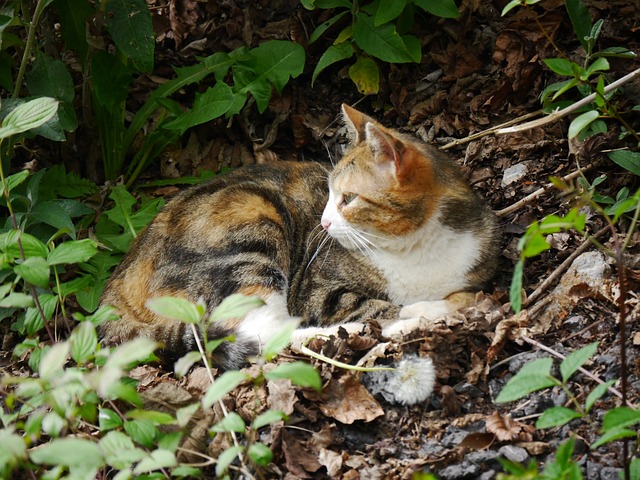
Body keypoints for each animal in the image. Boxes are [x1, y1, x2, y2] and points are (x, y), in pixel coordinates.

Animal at [100, 105, 500, 372]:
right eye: (328, 192)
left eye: (347, 198)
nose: (323, 223)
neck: (414, 248)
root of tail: (114, 288)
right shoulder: (316, 288)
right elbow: (374, 305)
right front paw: (429, 312)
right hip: (251, 220)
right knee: (263, 332)